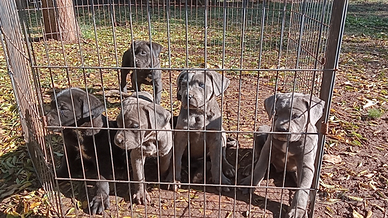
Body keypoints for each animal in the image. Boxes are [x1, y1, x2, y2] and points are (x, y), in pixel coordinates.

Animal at [46, 87, 126, 215]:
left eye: (63, 108)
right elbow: (65, 163)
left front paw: (100, 200)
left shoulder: (102, 158)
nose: (45, 118)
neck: (79, 131)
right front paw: (58, 174)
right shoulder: (69, 148)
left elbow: (102, 180)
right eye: (51, 105)